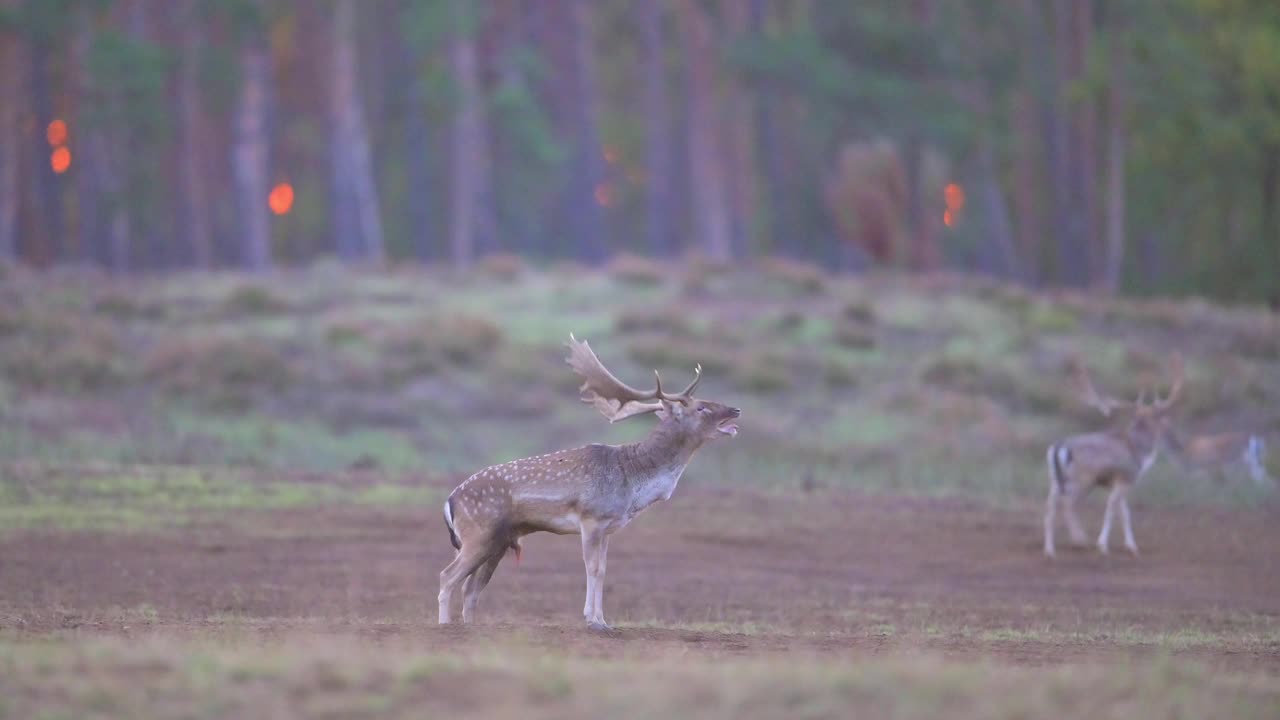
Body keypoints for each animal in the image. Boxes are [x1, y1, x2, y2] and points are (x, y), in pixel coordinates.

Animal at [437, 333, 742, 625]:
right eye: (701, 407)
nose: (736, 410)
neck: (634, 484)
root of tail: (450, 501)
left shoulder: (608, 527)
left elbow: (603, 570)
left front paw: (604, 621)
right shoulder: (591, 519)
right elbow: (592, 568)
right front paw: (592, 620)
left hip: (498, 541)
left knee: (470, 589)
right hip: (479, 534)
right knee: (447, 577)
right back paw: (445, 625)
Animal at [1044, 351, 1182, 556]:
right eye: (1159, 419)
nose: (1170, 430)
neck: (1139, 452)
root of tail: (1058, 447)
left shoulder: (1117, 483)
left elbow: (1125, 513)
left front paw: (1132, 546)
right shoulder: (1125, 477)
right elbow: (1111, 509)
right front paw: (1102, 545)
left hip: (1055, 479)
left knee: (1049, 507)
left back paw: (1050, 549)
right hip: (1082, 478)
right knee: (1068, 504)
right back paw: (1080, 540)